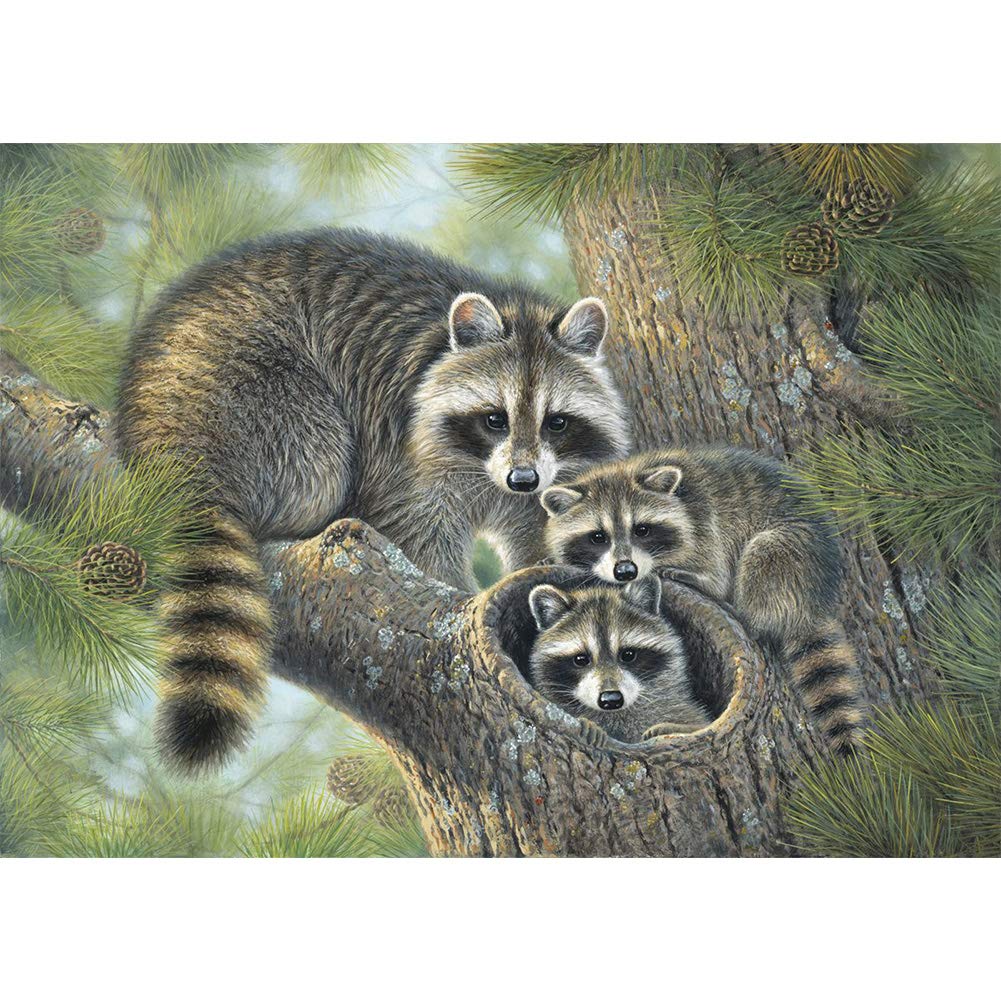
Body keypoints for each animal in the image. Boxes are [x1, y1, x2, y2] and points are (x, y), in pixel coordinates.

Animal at [117, 228, 629, 771]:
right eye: (495, 418)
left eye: (557, 421)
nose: (523, 478)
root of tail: (163, 428)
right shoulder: (405, 445)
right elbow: (418, 531)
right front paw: (457, 596)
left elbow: (538, 534)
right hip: (257, 392)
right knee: (317, 464)